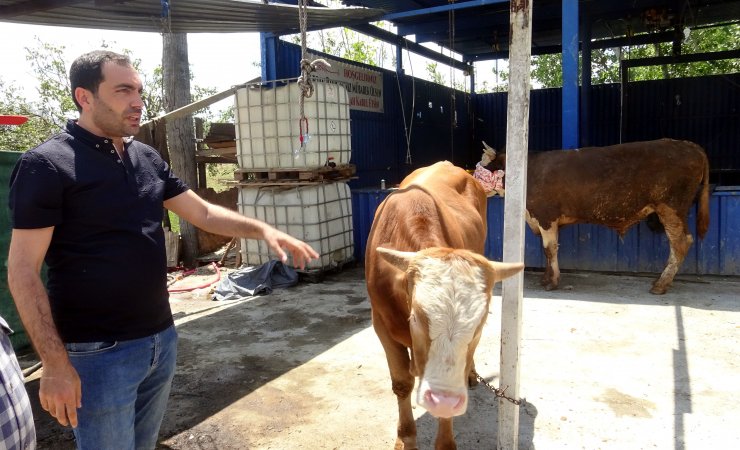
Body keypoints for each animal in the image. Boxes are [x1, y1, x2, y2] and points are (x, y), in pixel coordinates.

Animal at [368, 162, 524, 450]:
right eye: (416, 317)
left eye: (480, 324)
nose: (444, 400)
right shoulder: (381, 324)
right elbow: (402, 383)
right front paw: (405, 437)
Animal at [482, 139, 708, 298]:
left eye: (483, 167)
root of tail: (689, 145)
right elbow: (547, 250)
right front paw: (546, 277)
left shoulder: (546, 217)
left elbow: (549, 249)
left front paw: (552, 282)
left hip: (671, 208)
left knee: (680, 242)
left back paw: (661, 284)